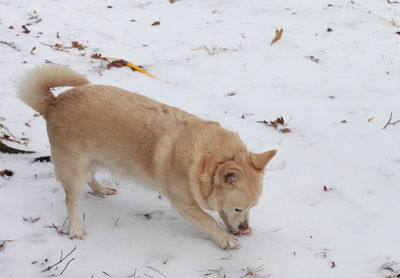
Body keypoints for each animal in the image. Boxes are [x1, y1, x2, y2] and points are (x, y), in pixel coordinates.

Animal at [18, 65, 276, 250]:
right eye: (238, 208)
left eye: (251, 208)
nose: (244, 228)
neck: (209, 157)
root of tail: (54, 102)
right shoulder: (184, 204)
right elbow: (208, 220)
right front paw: (224, 238)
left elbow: (218, 212)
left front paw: (231, 230)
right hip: (74, 170)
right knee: (70, 202)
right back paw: (75, 229)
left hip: (92, 161)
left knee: (91, 178)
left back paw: (102, 190)